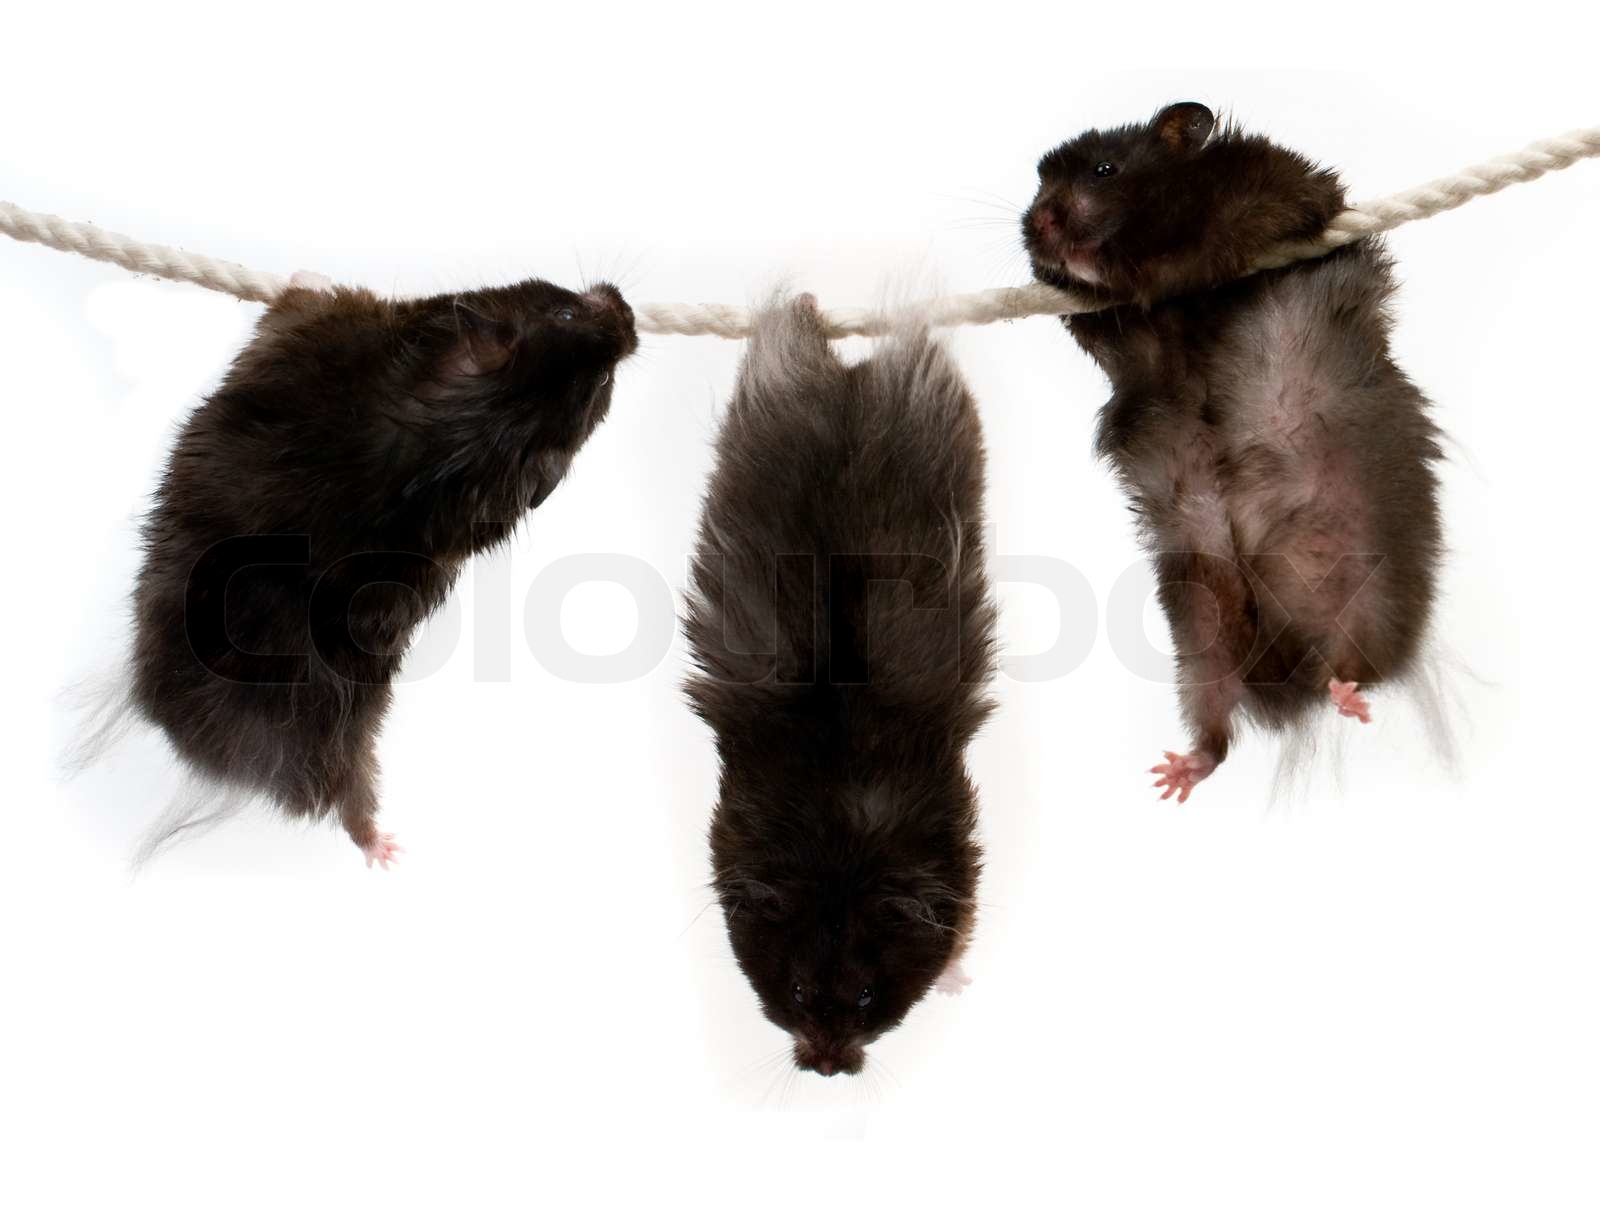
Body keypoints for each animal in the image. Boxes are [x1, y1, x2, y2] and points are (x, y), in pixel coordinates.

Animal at [128, 277, 637, 864]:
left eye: (602, 375)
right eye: (567, 313)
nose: (628, 311)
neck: (464, 435)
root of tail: (231, 763)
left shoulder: (311, 327)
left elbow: (297, 301)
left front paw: (306, 276)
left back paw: (382, 850)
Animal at [1023, 102, 1443, 800]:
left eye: (1106, 170)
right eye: (1038, 185)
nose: (1041, 223)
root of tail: (1289, 662)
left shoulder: (1283, 194)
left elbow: (1213, 241)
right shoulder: (1119, 340)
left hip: (1369, 577)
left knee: (1357, 659)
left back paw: (1347, 690)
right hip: (1197, 603)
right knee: (1217, 711)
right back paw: (1179, 773)